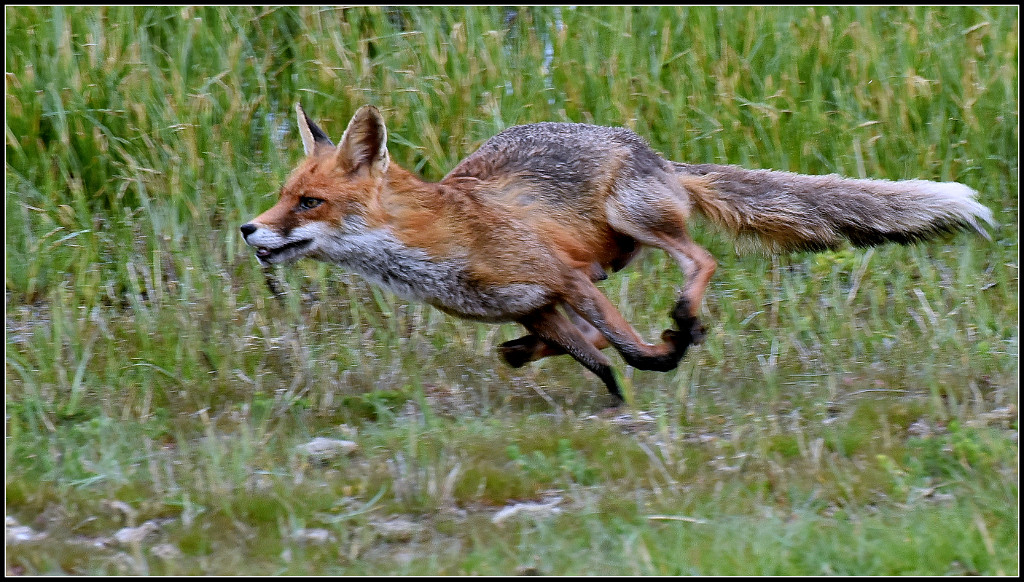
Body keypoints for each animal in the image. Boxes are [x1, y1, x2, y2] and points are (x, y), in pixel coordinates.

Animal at [239, 104, 991, 401]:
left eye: (309, 203)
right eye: (282, 197)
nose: (249, 230)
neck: (437, 247)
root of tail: (656, 155)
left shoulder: (562, 278)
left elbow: (627, 347)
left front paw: (660, 358)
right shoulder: (537, 302)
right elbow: (590, 354)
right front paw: (612, 393)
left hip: (632, 217)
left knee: (700, 260)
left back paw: (686, 319)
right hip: (610, 254)